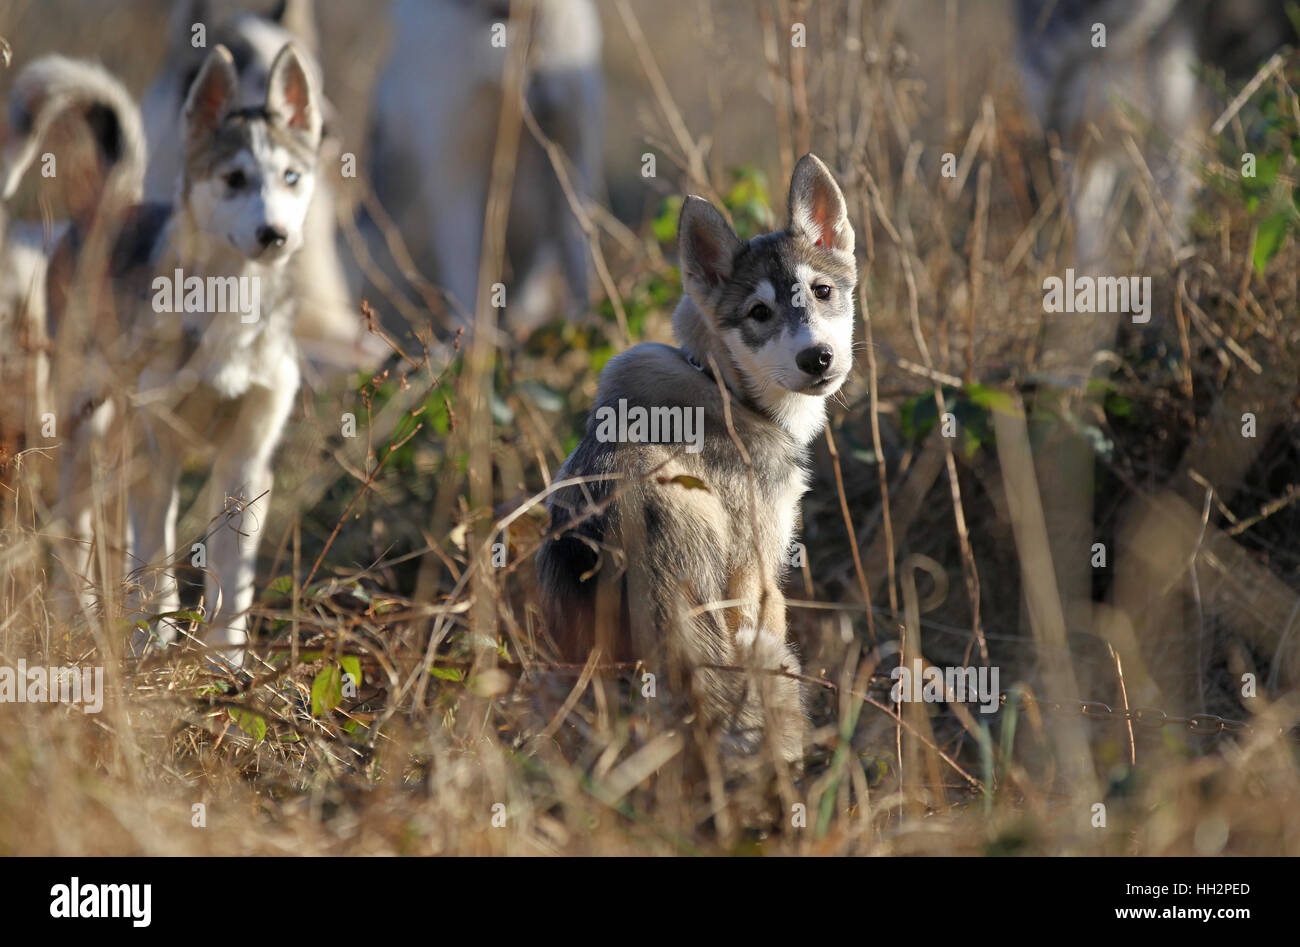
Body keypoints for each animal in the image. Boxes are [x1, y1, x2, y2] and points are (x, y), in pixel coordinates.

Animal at [533, 153, 857, 759]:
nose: (818, 358)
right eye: (758, 313)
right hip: (765, 651)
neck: (721, 382)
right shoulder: (759, 578)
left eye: (823, 290)